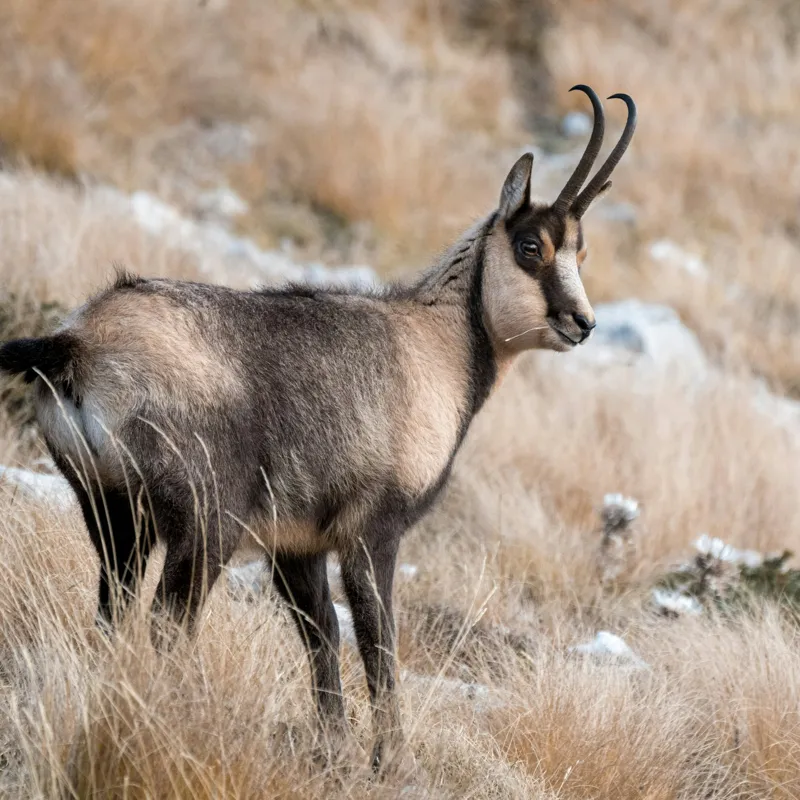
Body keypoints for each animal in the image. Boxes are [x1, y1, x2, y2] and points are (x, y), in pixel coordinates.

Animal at [0, 85, 636, 772]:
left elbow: (322, 634)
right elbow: (379, 643)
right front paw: (391, 760)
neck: (436, 346)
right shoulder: (372, 531)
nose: (582, 323)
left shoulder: (297, 544)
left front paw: (336, 748)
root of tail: (77, 342)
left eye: (579, 251)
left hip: (112, 512)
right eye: (530, 247)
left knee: (114, 613)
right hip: (204, 523)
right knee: (169, 625)